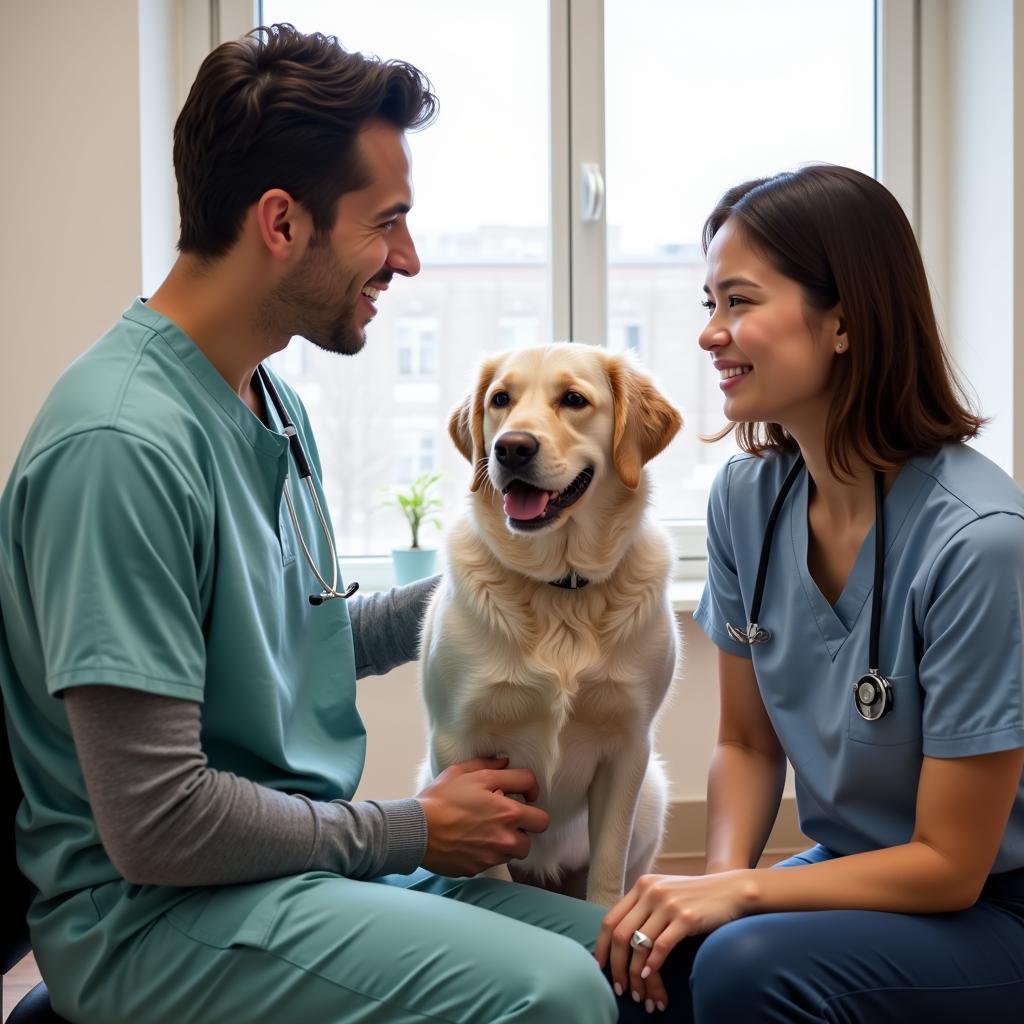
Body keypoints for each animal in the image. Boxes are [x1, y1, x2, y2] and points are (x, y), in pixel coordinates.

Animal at [415, 344, 679, 905]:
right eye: (500, 400)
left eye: (574, 400)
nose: (511, 448)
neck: (562, 587)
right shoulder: (456, 743)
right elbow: (489, 870)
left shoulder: (628, 747)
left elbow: (607, 867)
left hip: (653, 794)